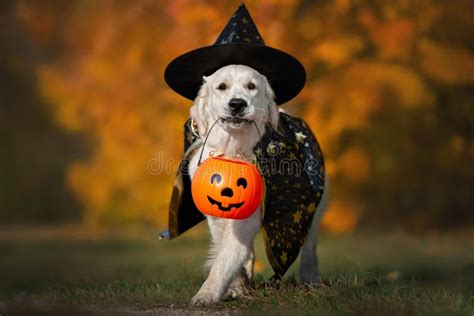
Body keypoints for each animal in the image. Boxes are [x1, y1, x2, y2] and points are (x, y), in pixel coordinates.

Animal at [187, 63, 328, 304]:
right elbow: (226, 250)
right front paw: (238, 285)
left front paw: (206, 293)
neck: (234, 150)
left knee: (309, 246)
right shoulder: (216, 217)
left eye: (251, 86)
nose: (237, 104)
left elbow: (226, 257)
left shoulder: (247, 216)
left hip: (313, 207)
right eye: (221, 86)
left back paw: (310, 279)